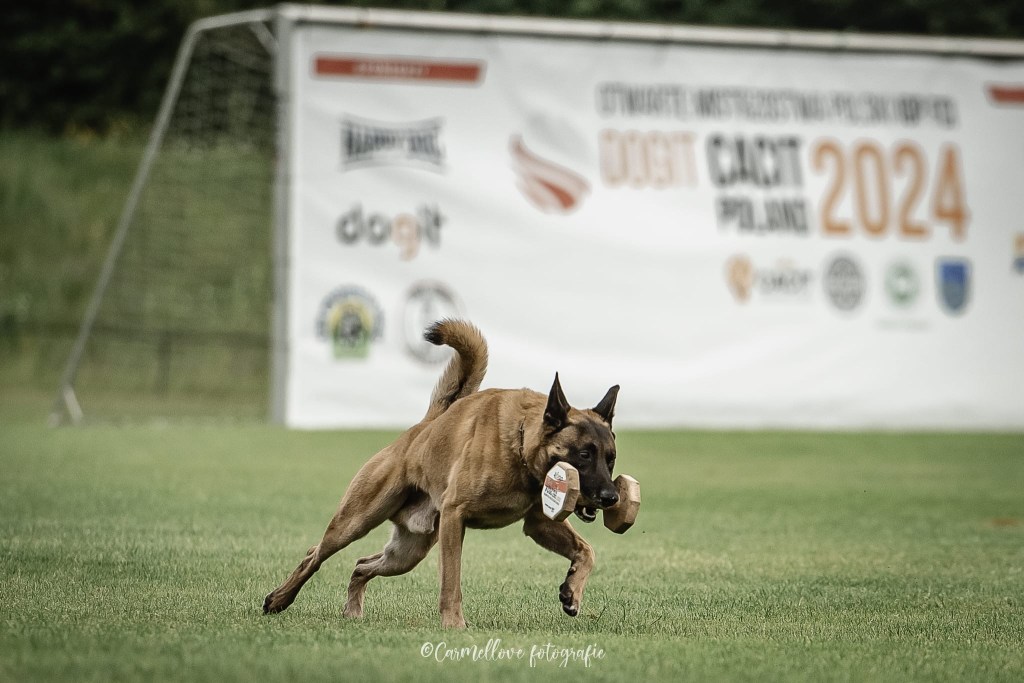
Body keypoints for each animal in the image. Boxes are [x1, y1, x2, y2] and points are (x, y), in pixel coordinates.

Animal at [263, 319, 621, 628]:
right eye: (584, 455)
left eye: (611, 460)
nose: (612, 497)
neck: (518, 444)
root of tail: (424, 426)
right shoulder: (454, 517)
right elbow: (451, 580)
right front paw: (454, 625)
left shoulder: (539, 523)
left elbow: (587, 551)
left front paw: (572, 592)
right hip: (355, 520)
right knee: (314, 555)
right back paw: (279, 599)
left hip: (407, 552)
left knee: (361, 565)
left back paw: (352, 611)